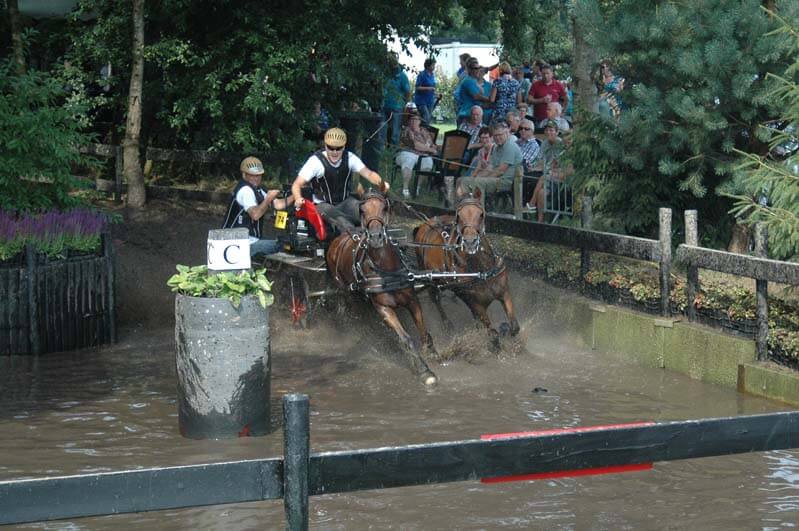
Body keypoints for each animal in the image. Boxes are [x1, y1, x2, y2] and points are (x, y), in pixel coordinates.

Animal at [325, 191, 438, 386]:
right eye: (362, 210)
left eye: (385, 208)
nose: (376, 236)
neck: (386, 271)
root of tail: (340, 238)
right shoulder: (384, 309)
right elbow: (406, 338)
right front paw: (424, 370)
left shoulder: (412, 300)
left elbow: (423, 330)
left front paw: (432, 352)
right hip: (342, 286)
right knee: (347, 303)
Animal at [413, 188, 520, 345]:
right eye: (458, 215)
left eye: (481, 214)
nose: (470, 242)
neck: (481, 271)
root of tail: (425, 225)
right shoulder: (476, 304)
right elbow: (493, 334)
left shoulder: (504, 293)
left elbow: (514, 327)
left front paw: (506, 330)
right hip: (430, 277)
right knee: (435, 297)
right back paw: (447, 324)